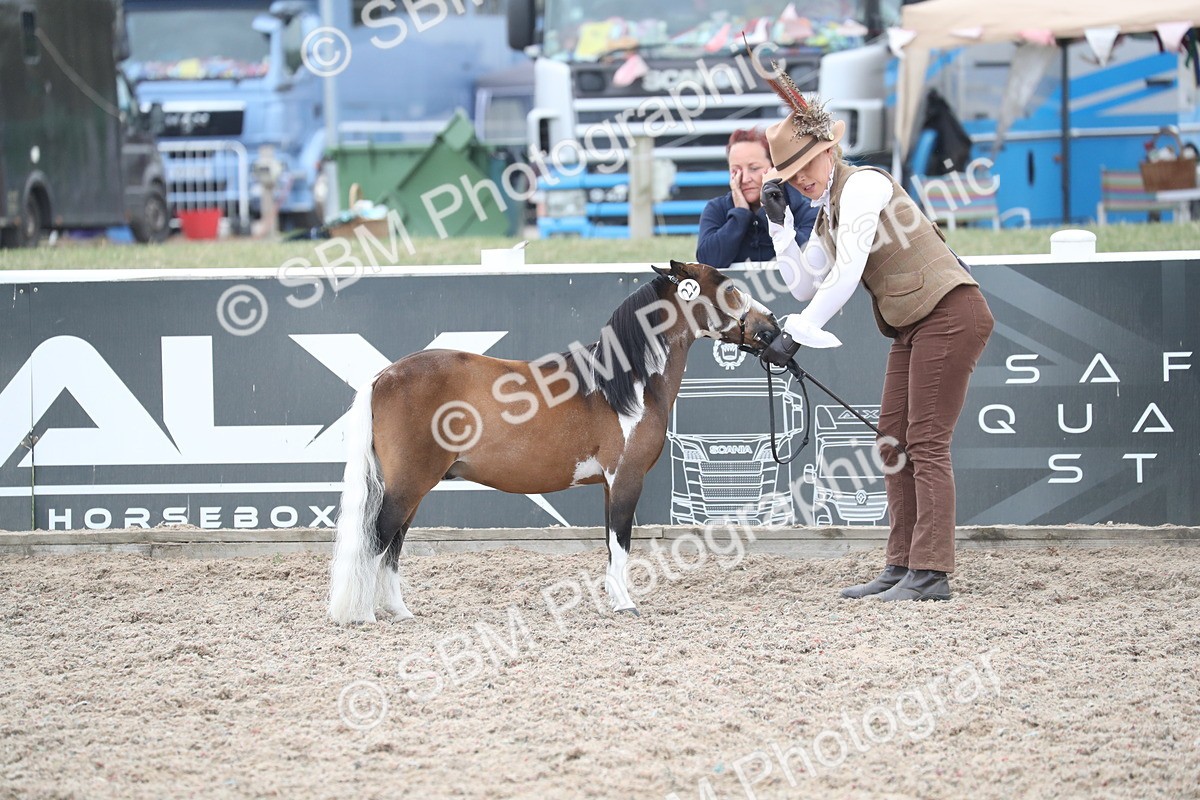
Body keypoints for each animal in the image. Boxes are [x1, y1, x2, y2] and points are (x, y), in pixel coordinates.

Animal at [328, 260, 780, 624]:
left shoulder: (609, 485)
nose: (771, 325)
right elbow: (621, 544)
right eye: (729, 289)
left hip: (411, 488)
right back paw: (366, 616)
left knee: (392, 547)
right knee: (377, 539)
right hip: (408, 485)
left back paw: (400, 612)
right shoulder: (627, 479)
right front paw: (625, 605)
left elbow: (610, 544)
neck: (625, 384)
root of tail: (384, 375)